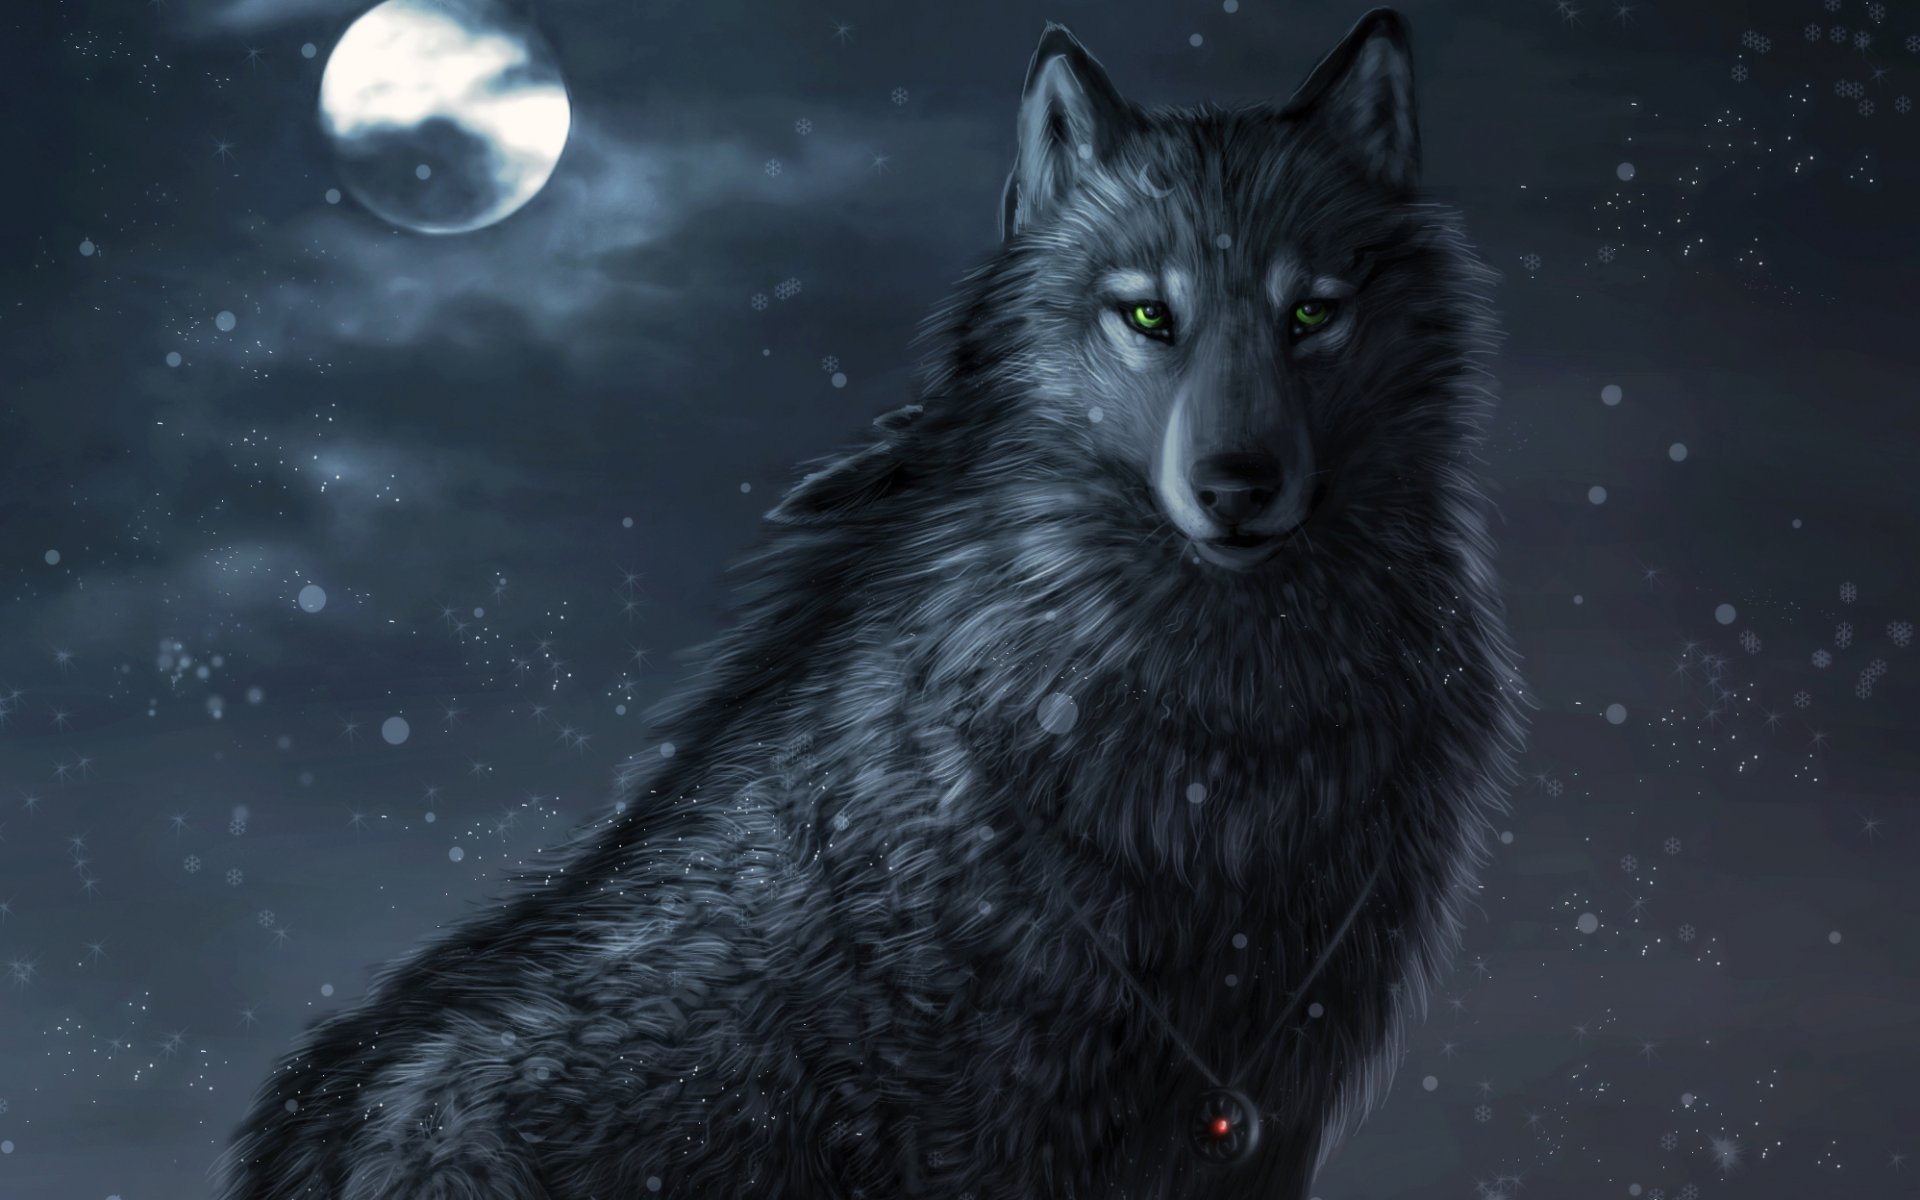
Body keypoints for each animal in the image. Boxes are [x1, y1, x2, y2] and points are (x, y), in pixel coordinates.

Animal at [217, 9, 1526, 1199]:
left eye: (1312, 311)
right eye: (1151, 315)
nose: (1238, 487)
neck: (1224, 742)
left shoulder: (1266, 1111)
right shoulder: (989, 1126)